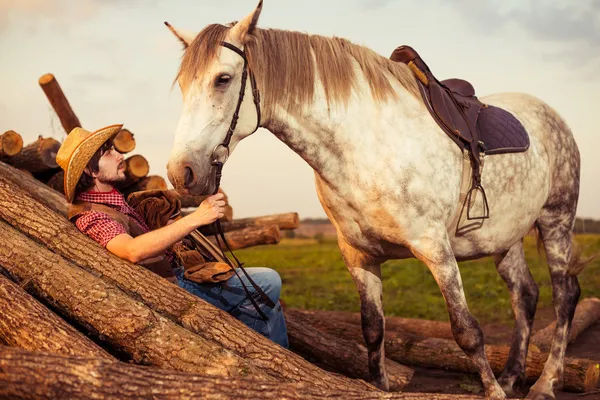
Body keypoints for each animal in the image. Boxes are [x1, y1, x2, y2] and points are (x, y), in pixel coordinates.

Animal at [165, 3, 584, 400]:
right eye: (183, 84)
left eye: (223, 79)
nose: (181, 172)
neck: (364, 148)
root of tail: (551, 116)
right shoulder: (359, 255)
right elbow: (372, 330)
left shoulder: (436, 250)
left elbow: (467, 331)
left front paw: (493, 391)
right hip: (504, 238)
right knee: (525, 295)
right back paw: (513, 376)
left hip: (556, 221)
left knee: (565, 297)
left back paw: (545, 383)